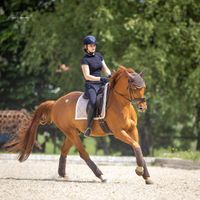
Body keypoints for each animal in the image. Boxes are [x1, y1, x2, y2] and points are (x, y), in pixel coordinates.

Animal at [5, 65, 153, 184]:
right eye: (134, 87)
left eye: (144, 87)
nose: (143, 107)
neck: (122, 104)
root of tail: (56, 103)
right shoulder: (118, 132)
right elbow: (136, 146)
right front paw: (140, 170)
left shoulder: (132, 130)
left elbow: (138, 147)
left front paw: (147, 176)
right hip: (71, 132)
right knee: (83, 153)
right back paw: (101, 176)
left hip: (72, 133)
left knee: (64, 150)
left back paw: (62, 174)